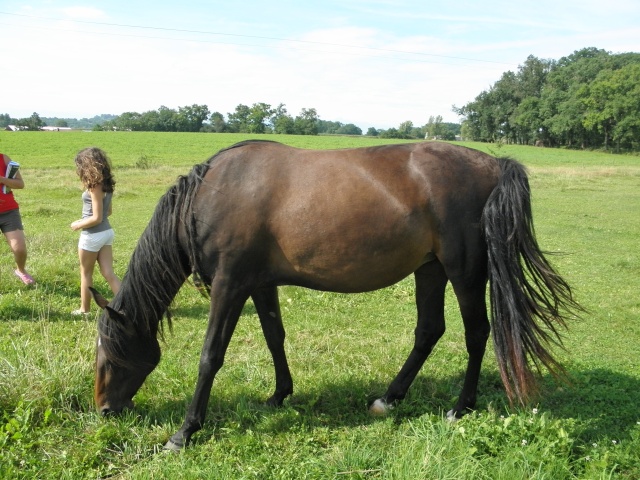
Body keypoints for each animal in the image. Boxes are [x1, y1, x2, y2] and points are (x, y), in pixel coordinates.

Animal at [94, 139, 580, 450]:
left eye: (108, 354)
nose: (104, 410)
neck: (210, 195)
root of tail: (493, 164)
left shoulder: (229, 285)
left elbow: (210, 355)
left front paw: (185, 431)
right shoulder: (260, 284)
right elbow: (275, 338)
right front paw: (278, 396)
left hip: (463, 271)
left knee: (477, 333)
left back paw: (461, 407)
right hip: (430, 269)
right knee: (429, 331)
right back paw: (389, 398)